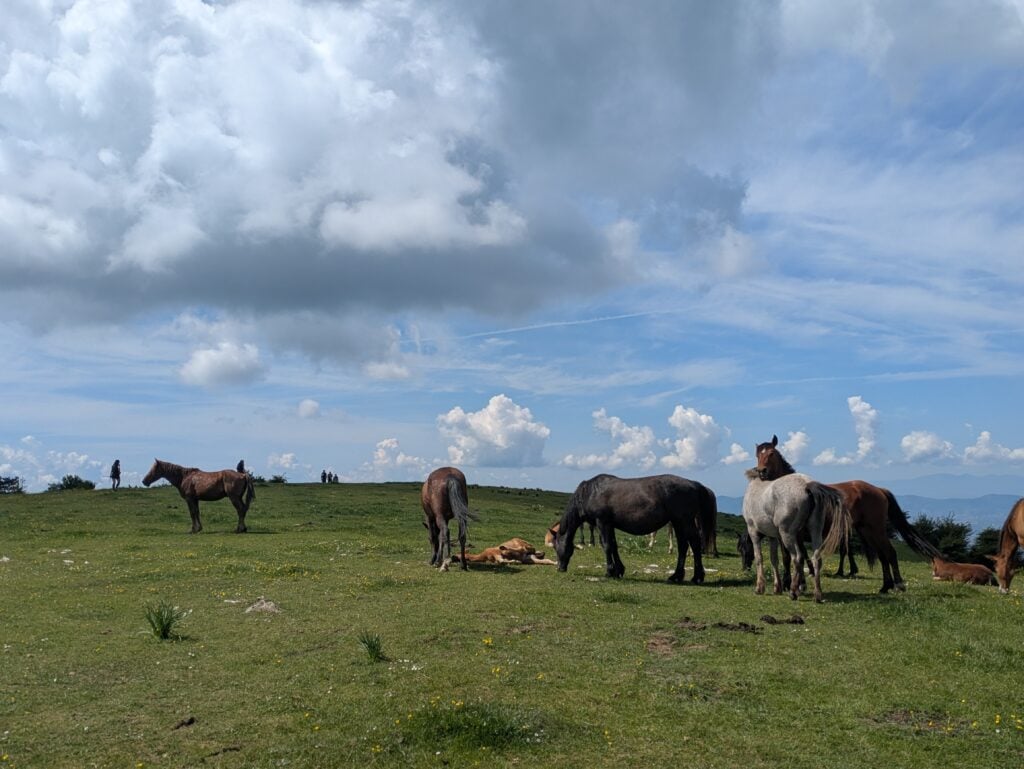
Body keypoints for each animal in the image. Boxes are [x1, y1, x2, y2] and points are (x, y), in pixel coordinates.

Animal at [553, 474, 717, 584]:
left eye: (555, 547)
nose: (560, 568)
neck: (590, 492)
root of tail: (694, 484)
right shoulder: (610, 525)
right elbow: (614, 546)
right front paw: (619, 570)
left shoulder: (602, 522)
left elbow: (606, 546)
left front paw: (609, 571)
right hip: (678, 523)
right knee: (683, 546)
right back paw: (676, 576)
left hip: (685, 522)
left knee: (695, 544)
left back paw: (697, 577)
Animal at [742, 465, 849, 603]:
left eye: (742, 550)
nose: (745, 568)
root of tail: (807, 484)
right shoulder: (773, 537)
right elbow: (774, 559)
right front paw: (777, 587)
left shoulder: (753, 533)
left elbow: (759, 558)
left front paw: (760, 587)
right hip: (815, 532)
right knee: (816, 559)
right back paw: (817, 594)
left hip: (787, 535)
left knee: (797, 557)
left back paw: (793, 592)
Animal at [755, 435, 941, 593]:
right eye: (758, 454)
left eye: (771, 453)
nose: (761, 471)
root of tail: (879, 489)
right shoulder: (783, 534)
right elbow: (787, 557)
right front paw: (789, 584)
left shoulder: (796, 534)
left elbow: (797, 556)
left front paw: (800, 584)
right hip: (867, 530)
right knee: (882, 555)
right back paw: (885, 587)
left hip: (876, 529)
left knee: (890, 553)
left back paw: (899, 585)